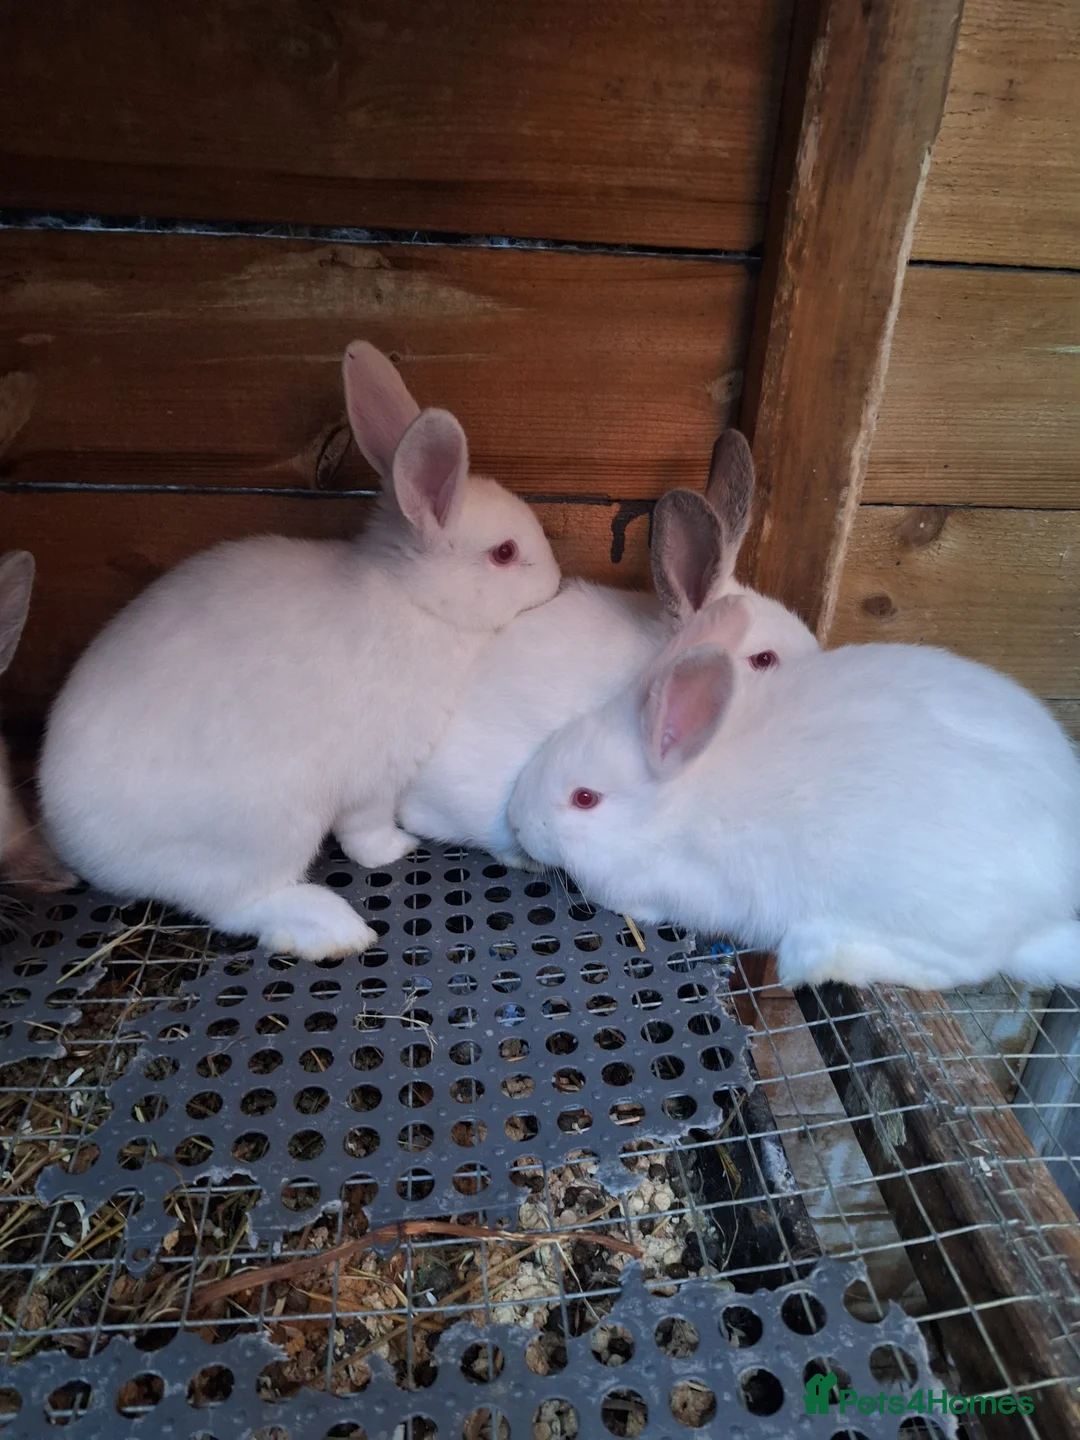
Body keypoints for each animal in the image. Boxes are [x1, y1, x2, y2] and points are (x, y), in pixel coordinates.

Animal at [40, 344, 561, 959]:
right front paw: (398, 848)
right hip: (265, 831)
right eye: (504, 553)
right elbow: (365, 832)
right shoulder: (376, 771)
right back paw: (335, 929)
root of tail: (76, 844)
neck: (414, 601)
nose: (555, 581)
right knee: (238, 905)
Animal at [506, 595, 1080, 992]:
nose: (515, 821)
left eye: (584, 798)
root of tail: (1053, 904)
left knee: (961, 967)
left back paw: (818, 955)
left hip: (936, 915)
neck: (673, 805)